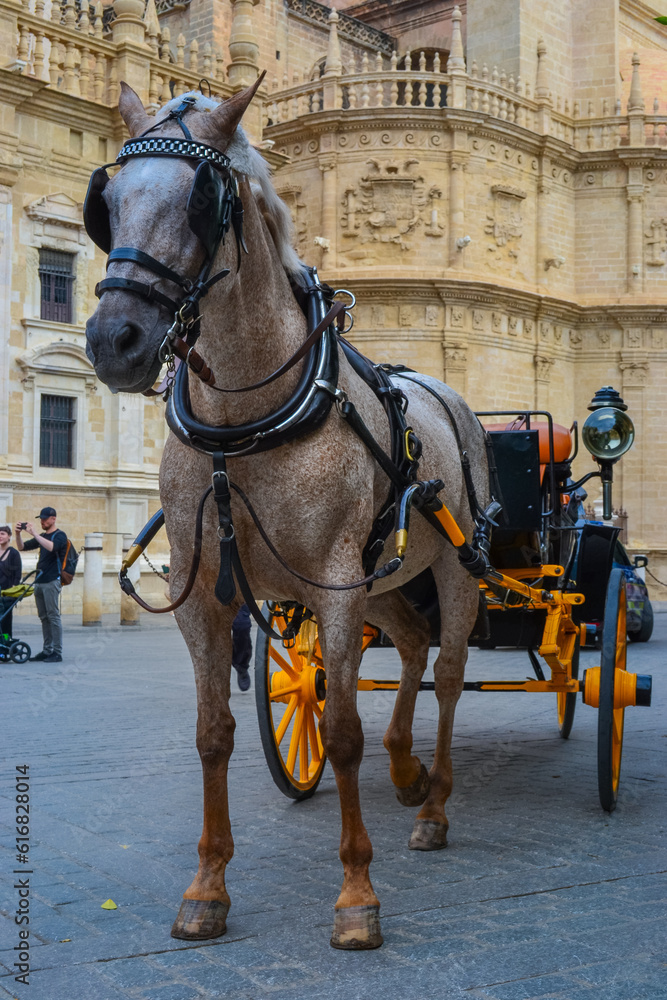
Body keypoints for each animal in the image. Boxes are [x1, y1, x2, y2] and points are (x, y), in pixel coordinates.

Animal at [83, 82, 490, 948]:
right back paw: (406, 769)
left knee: (444, 673)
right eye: (110, 203)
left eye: (205, 203)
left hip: (451, 570)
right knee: (411, 649)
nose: (113, 340)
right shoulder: (206, 596)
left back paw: (434, 805)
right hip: (385, 584)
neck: (244, 424)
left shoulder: (332, 586)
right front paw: (206, 887)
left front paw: (357, 895)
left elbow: (339, 732)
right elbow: (213, 735)